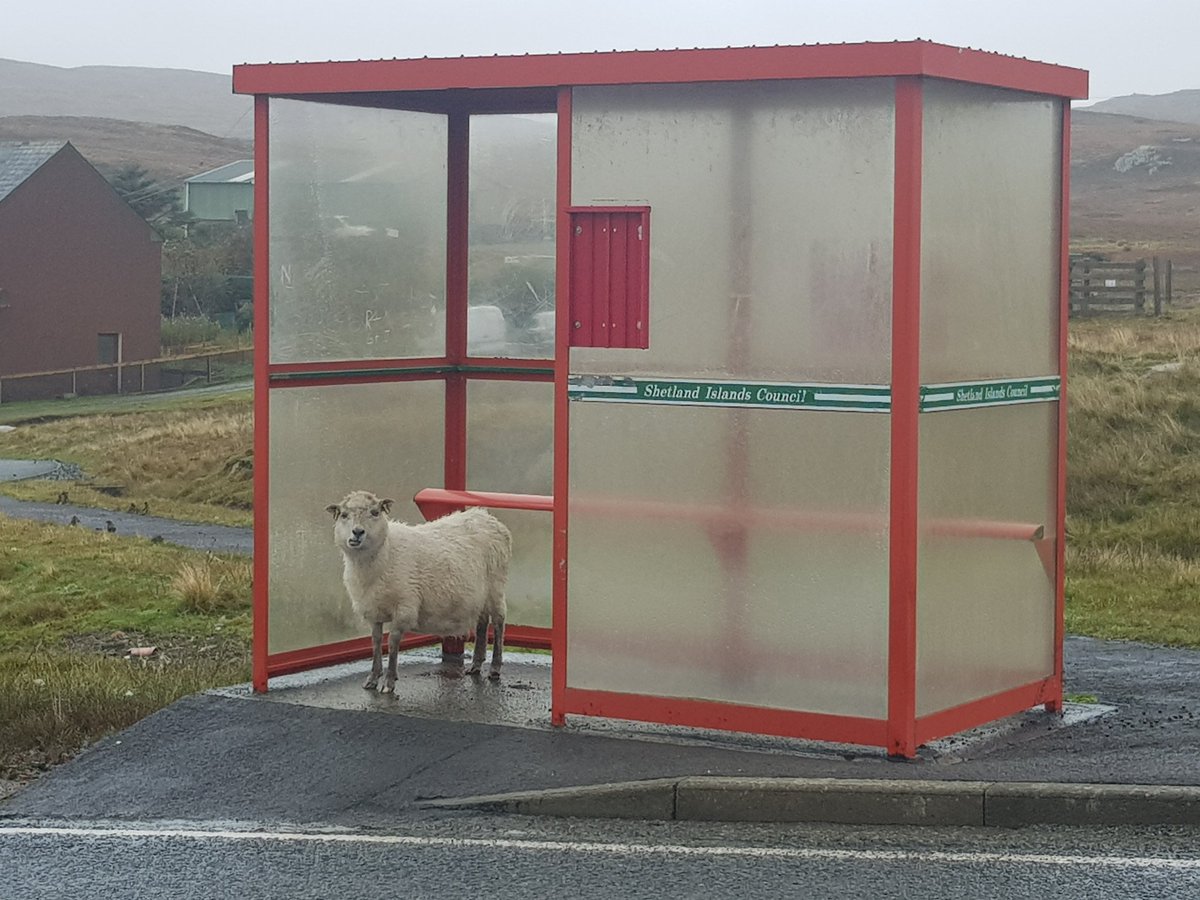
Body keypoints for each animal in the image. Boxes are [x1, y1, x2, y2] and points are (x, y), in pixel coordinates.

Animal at [326, 490, 512, 692]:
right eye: (344, 515)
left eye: (375, 513)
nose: (358, 532)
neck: (385, 552)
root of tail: (486, 516)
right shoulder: (373, 610)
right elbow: (375, 643)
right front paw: (373, 678)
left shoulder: (404, 607)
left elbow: (392, 644)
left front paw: (389, 682)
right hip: (480, 595)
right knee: (482, 622)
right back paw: (476, 664)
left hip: (496, 586)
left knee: (499, 622)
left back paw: (495, 668)